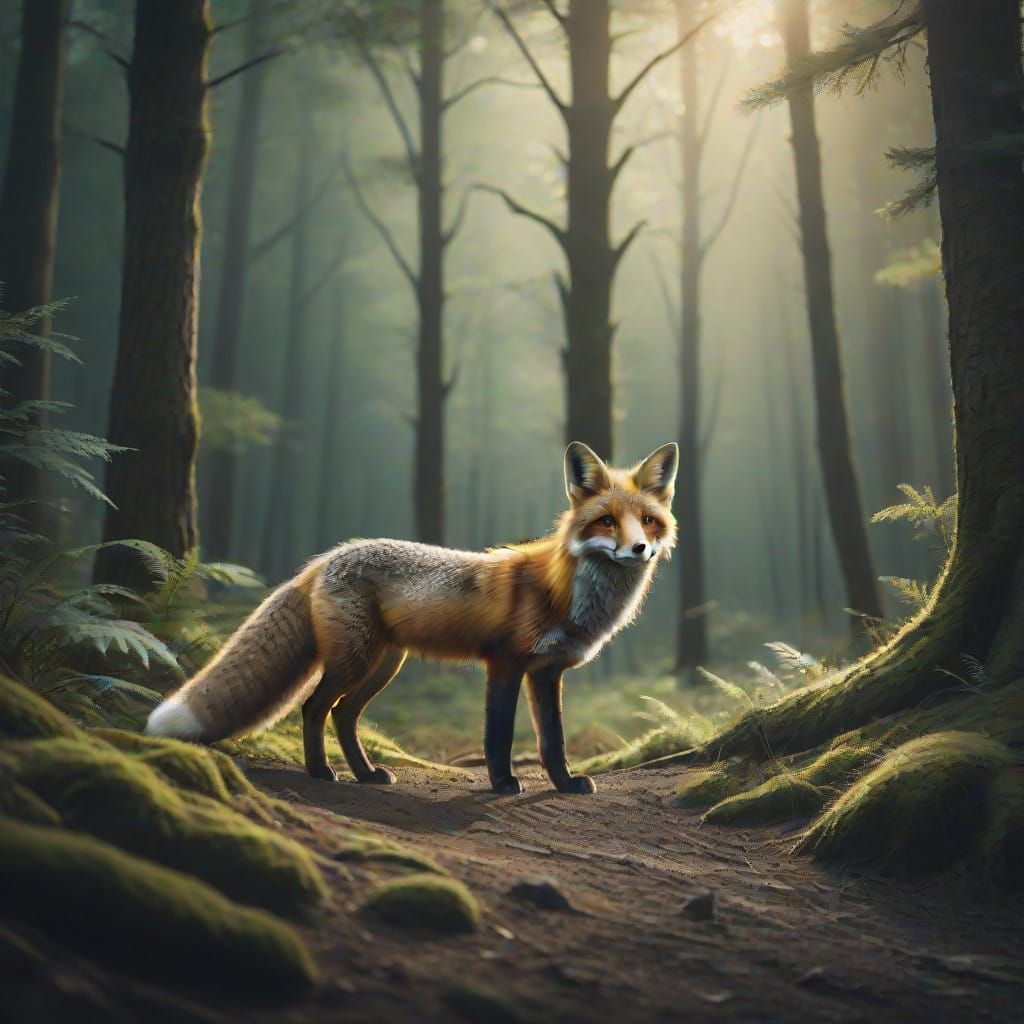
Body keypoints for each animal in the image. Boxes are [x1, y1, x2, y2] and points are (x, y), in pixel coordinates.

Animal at [147, 441, 678, 795]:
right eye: (606, 520)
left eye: (648, 522)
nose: (639, 548)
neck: (566, 591)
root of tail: (325, 558)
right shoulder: (505, 665)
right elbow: (499, 735)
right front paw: (503, 782)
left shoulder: (546, 673)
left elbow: (554, 740)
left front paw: (565, 784)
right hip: (353, 661)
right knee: (315, 708)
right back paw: (322, 773)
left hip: (383, 665)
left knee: (343, 714)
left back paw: (365, 775)